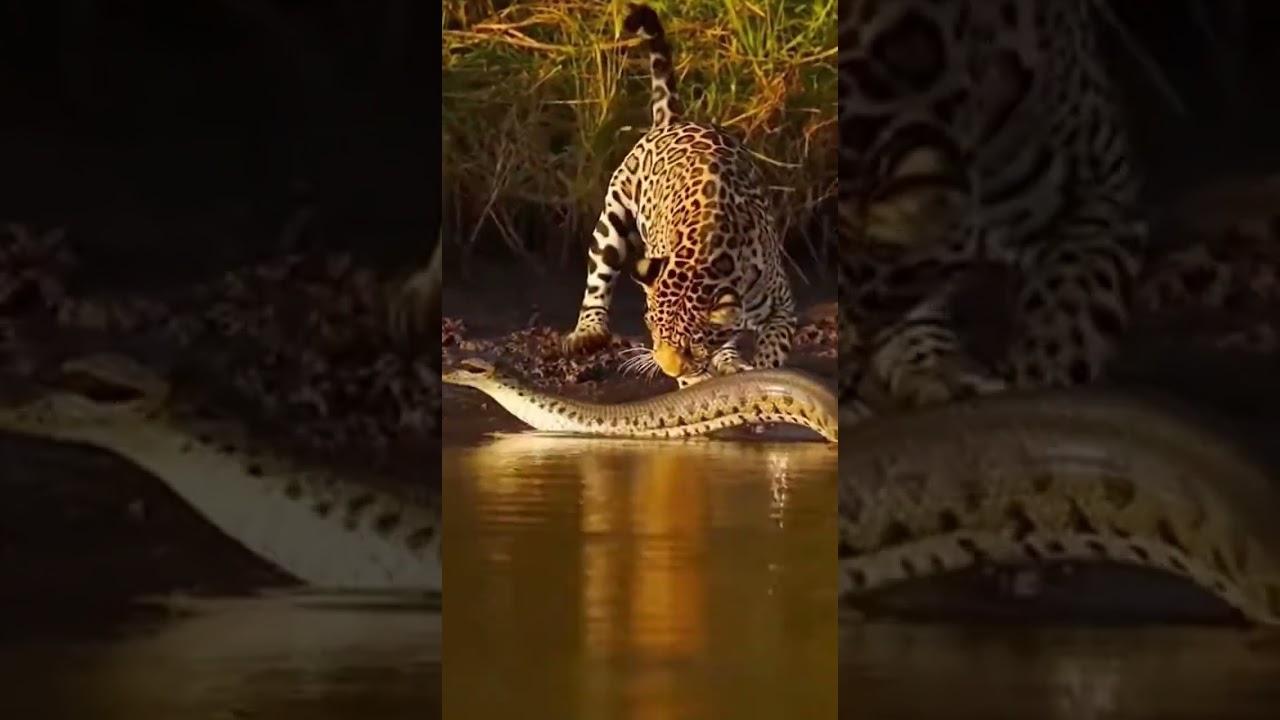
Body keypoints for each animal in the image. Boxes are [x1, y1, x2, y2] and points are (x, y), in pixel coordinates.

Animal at [560, 3, 796, 388]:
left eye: (694, 341)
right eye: (653, 328)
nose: (669, 368)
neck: (706, 252)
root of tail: (673, 121)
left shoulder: (781, 307)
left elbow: (771, 350)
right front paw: (697, 387)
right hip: (612, 220)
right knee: (598, 278)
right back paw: (588, 332)